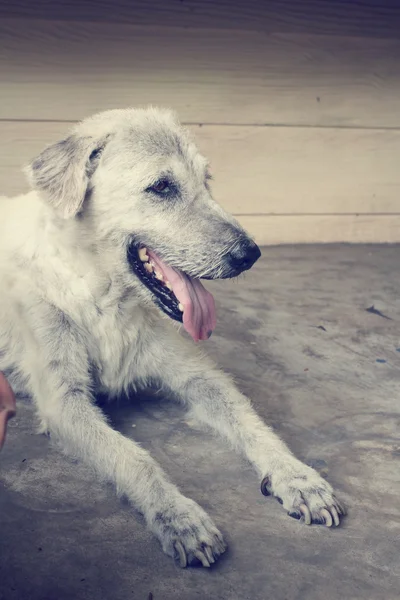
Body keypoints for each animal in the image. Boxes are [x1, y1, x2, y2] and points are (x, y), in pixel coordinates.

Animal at [0, 106, 344, 568]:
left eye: (207, 180)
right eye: (162, 186)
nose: (250, 255)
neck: (103, 296)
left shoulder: (200, 376)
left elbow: (253, 423)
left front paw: (297, 476)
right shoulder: (65, 404)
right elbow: (133, 457)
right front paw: (178, 515)